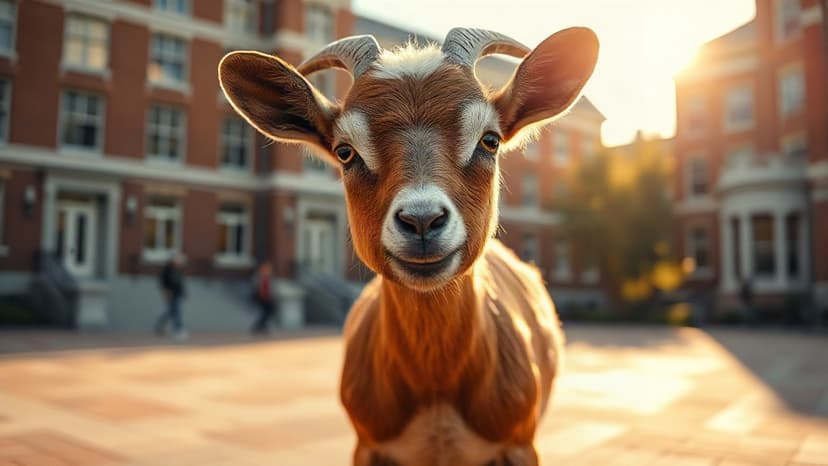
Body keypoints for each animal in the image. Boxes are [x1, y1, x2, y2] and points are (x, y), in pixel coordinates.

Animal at [219, 27, 599, 466]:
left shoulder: (520, 443)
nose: (421, 220)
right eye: (345, 152)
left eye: (490, 140)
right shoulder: (368, 445)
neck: (435, 387)